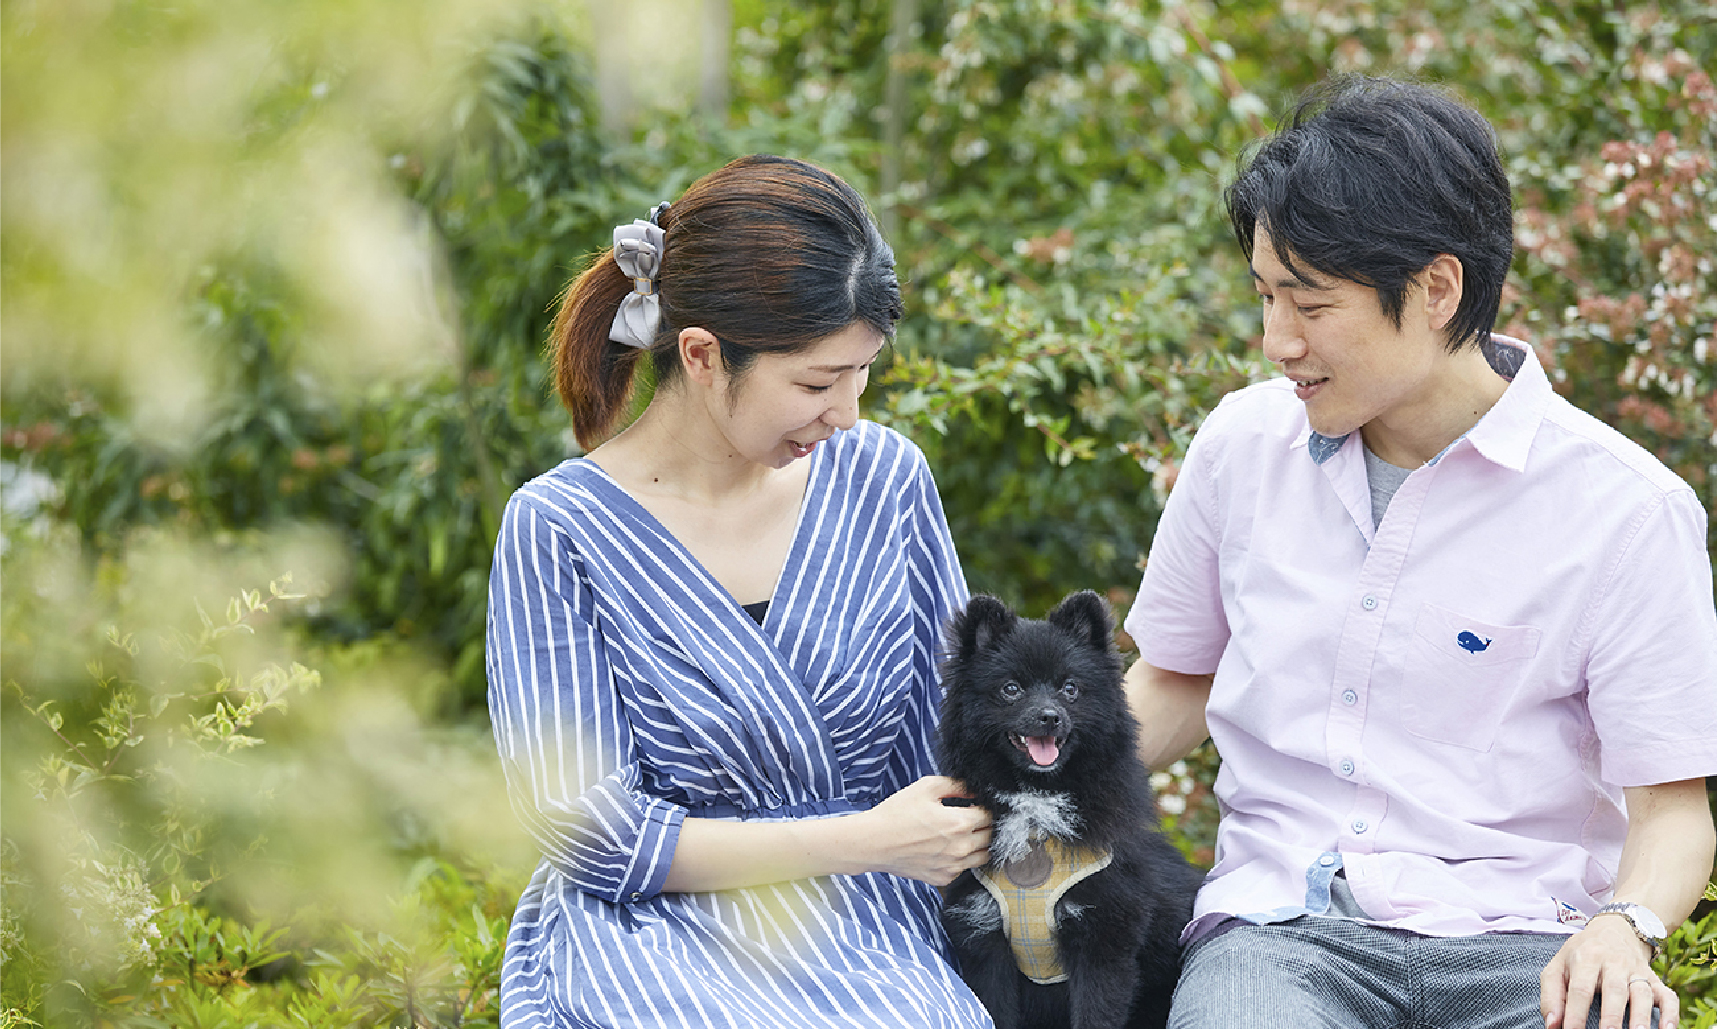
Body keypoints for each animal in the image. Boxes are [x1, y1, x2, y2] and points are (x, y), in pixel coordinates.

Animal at [940, 590, 1195, 1023]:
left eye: (1070, 688)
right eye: (1011, 689)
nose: (1050, 716)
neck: (1037, 798)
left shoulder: (1103, 935)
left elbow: (1096, 1013)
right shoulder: (982, 931)